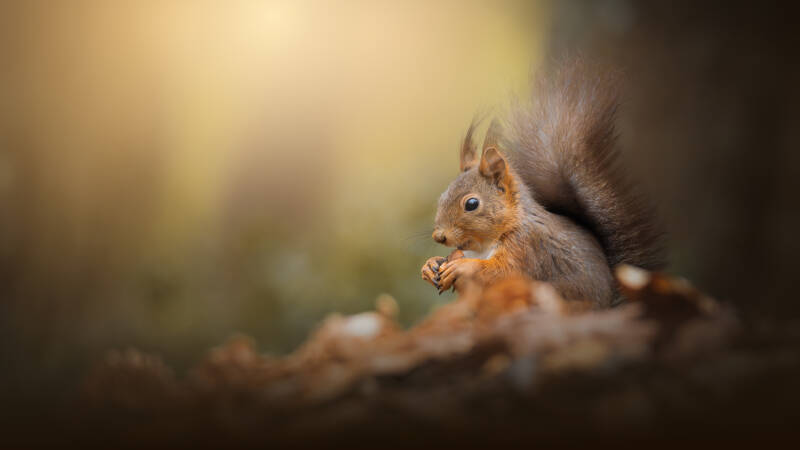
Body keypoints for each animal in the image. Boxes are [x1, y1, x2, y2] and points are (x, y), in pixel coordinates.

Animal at [420, 59, 664, 308]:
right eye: (441, 197)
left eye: (471, 204)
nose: (439, 237)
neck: (484, 245)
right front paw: (430, 265)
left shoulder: (527, 249)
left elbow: (503, 273)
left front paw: (462, 266)